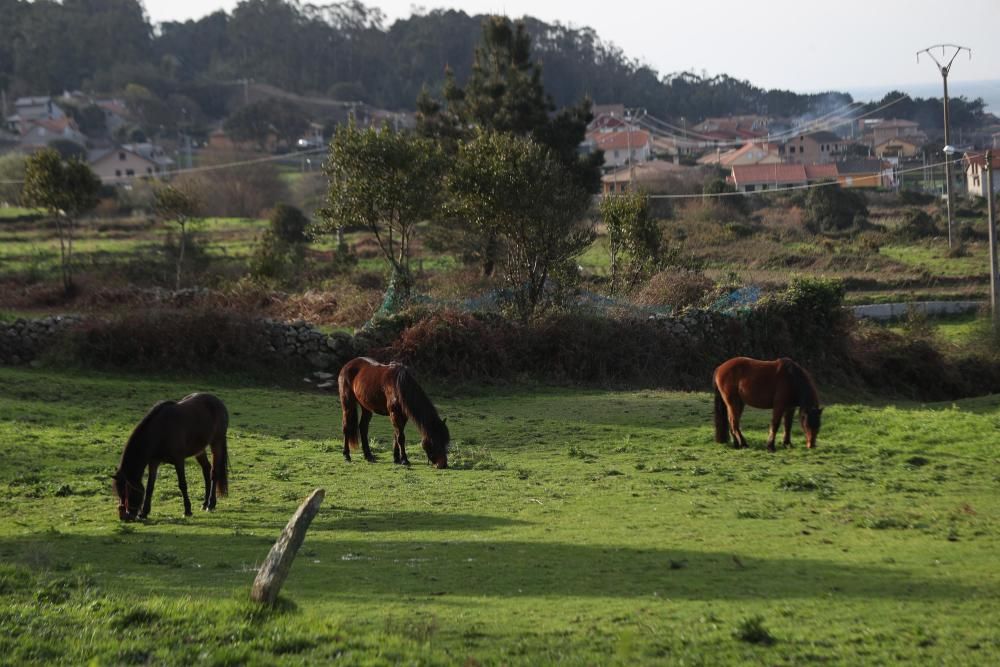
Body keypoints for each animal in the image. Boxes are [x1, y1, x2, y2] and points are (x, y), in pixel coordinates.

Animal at [112, 392, 229, 520]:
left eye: (127, 491)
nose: (124, 517)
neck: (160, 431)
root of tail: (218, 401)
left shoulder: (179, 461)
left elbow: (182, 484)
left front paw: (187, 510)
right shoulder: (154, 462)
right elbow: (149, 487)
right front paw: (144, 512)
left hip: (216, 443)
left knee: (214, 472)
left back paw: (211, 504)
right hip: (199, 449)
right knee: (206, 470)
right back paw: (204, 503)